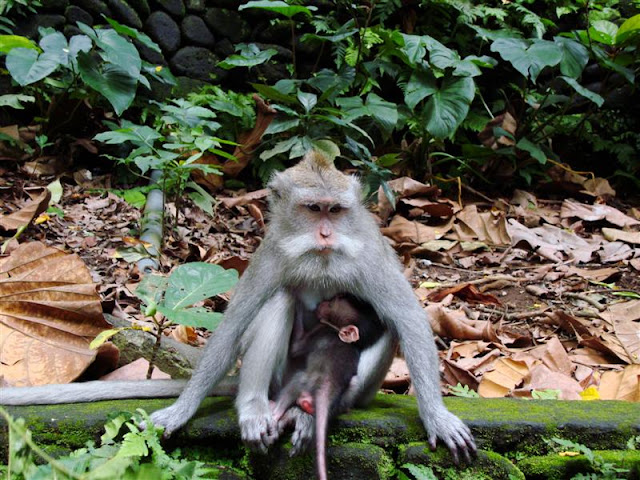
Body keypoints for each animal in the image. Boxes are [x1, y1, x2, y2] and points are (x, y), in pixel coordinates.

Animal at [271, 294, 384, 480]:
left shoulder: (321, 330)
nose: (322, 303)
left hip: (305, 381)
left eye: (332, 304)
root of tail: (328, 384)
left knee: (295, 382)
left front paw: (298, 306)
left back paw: (276, 412)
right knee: (353, 386)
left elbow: (295, 348)